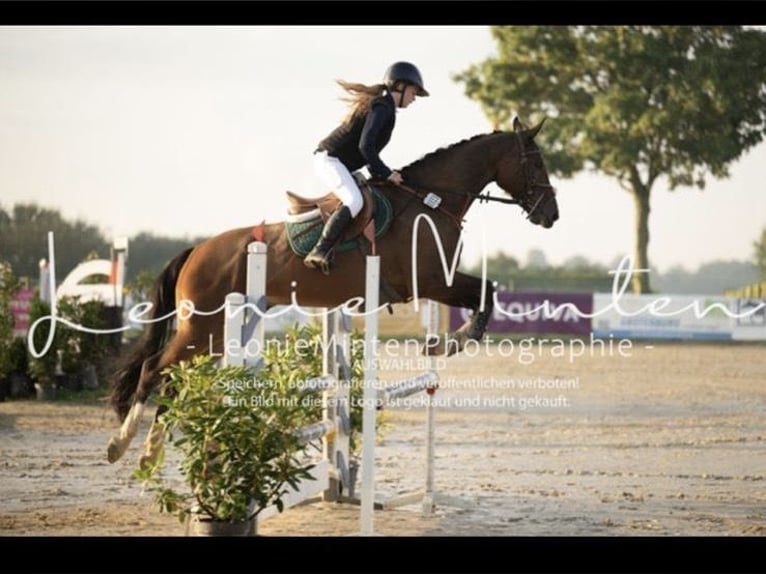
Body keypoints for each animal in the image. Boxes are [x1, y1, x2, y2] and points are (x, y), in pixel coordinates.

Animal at [106, 116, 560, 468]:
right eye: (536, 161)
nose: (552, 215)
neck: (430, 201)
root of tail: (196, 250)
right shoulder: (432, 281)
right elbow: (486, 292)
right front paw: (454, 341)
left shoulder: (437, 283)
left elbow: (486, 291)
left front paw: (446, 342)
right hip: (201, 327)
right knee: (155, 371)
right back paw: (123, 444)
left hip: (215, 333)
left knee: (172, 379)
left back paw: (149, 451)